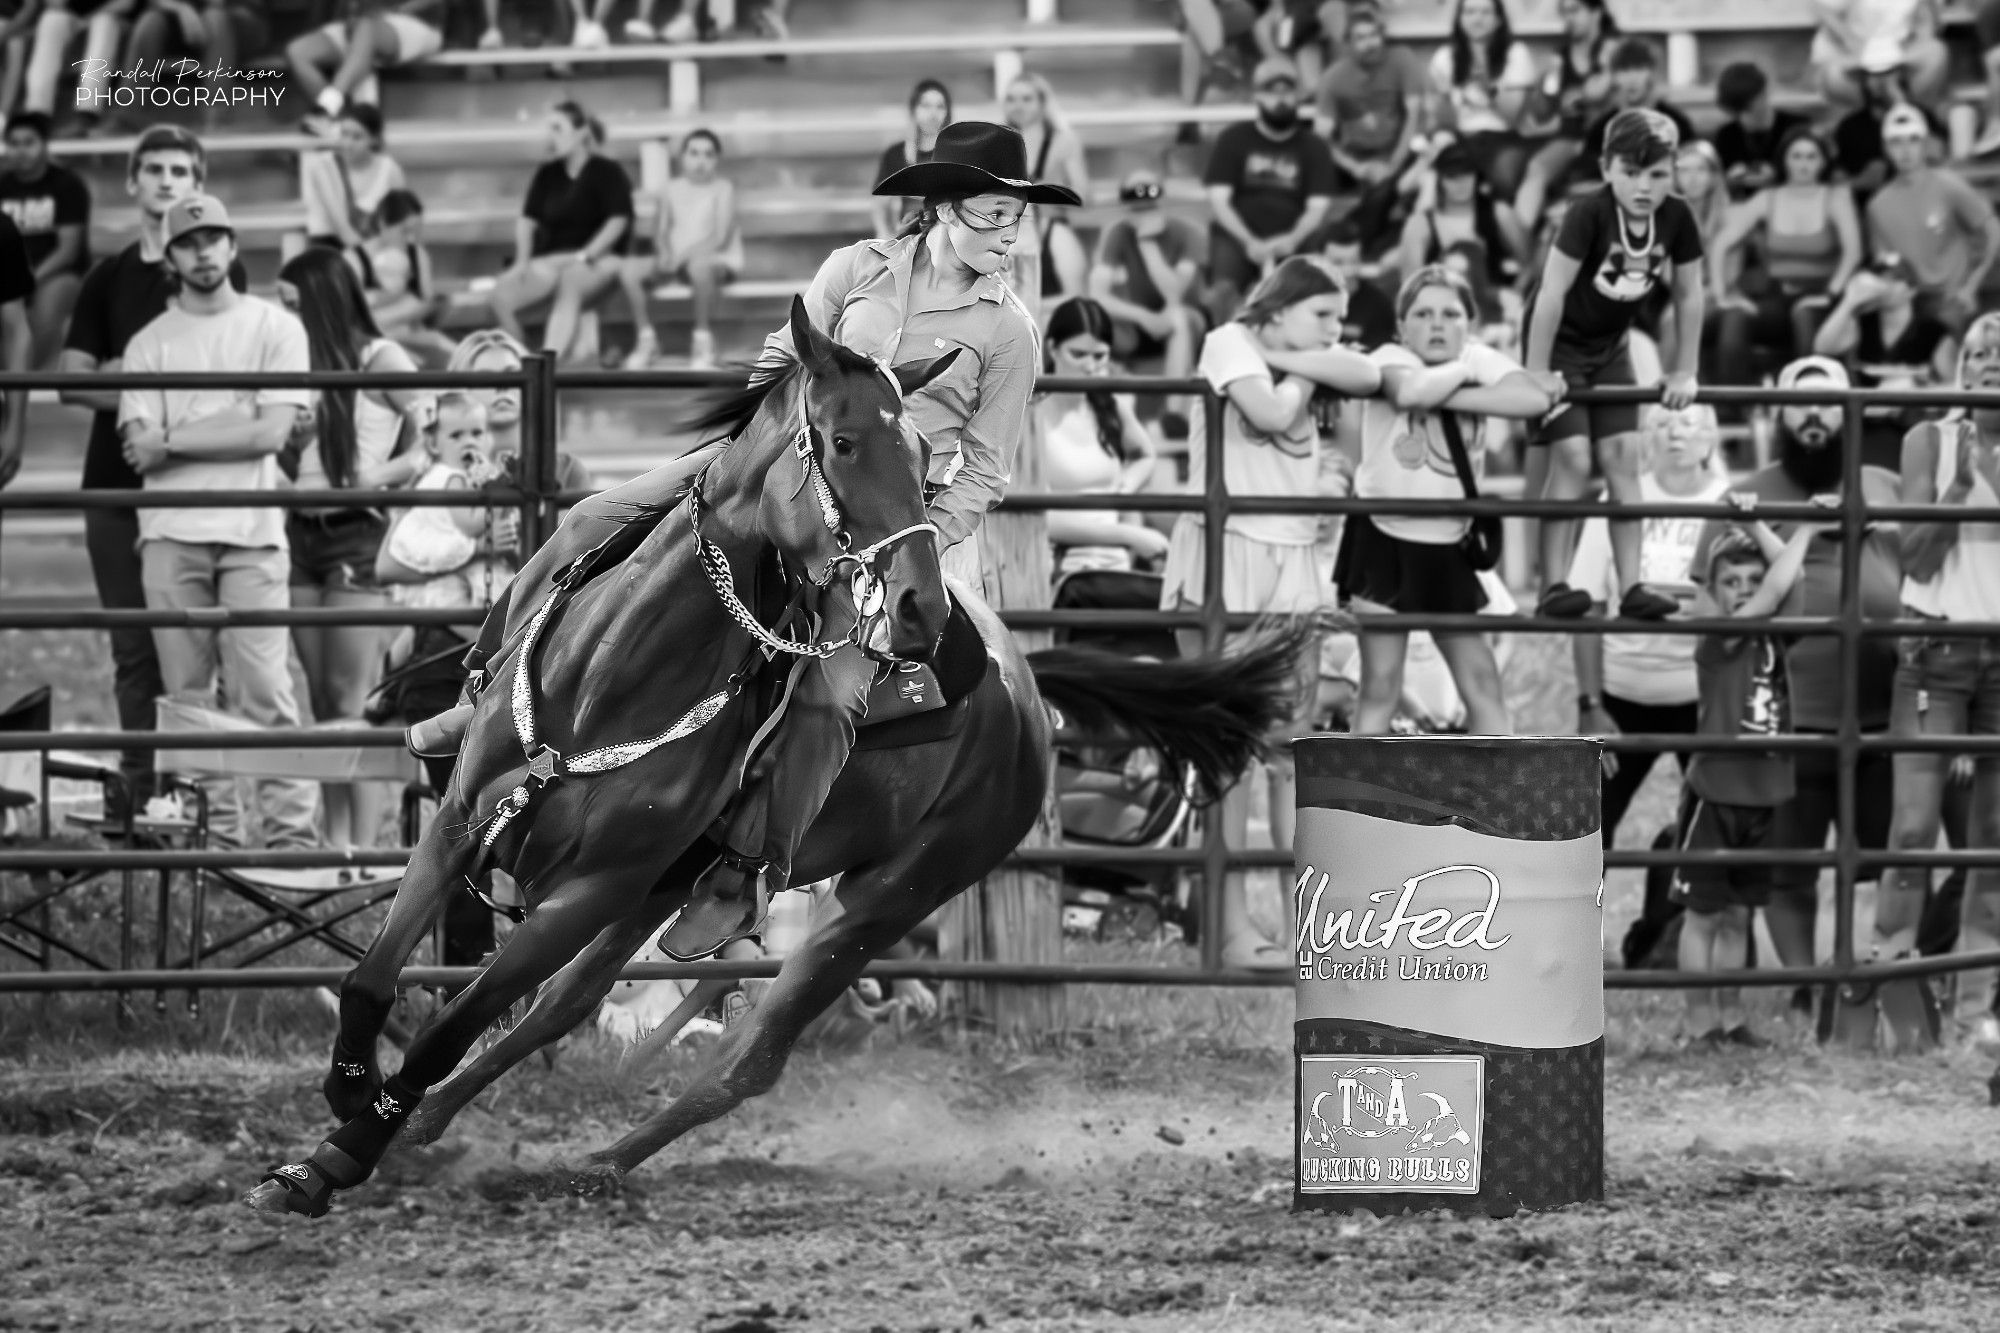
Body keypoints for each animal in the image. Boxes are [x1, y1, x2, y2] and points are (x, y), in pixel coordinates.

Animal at [242, 296, 1304, 1208]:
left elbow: (453, 1018)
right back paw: (439, 1131)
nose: (917, 608)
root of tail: (1023, 684)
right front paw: (353, 1098)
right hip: (668, 884)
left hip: (884, 899)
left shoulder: (591, 888)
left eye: (927, 453)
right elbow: (380, 975)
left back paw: (594, 1162)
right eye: (842, 441)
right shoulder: (467, 822)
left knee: (747, 1056)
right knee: (565, 1006)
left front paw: (337, 1157)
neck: (611, 679)